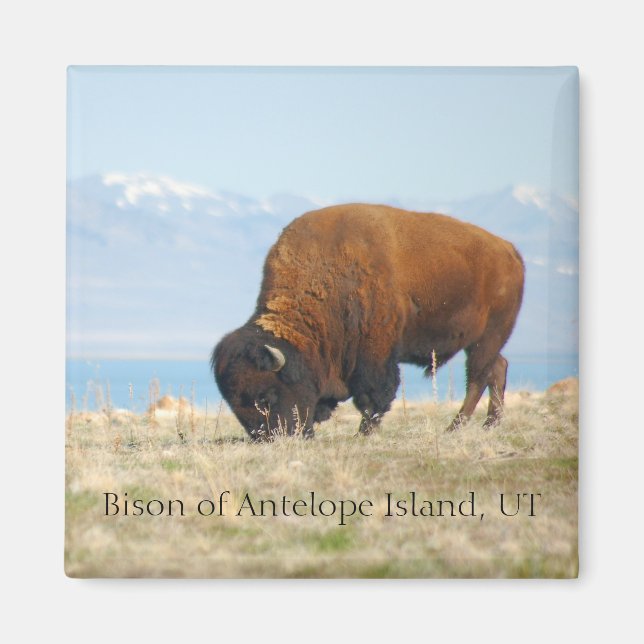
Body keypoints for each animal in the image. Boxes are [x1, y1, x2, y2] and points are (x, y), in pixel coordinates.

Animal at [212, 204, 524, 440]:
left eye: (265, 397)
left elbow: (372, 396)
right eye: (234, 405)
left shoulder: (375, 354)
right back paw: (490, 424)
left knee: (478, 377)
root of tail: (508, 250)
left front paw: (363, 433)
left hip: (487, 337)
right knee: (497, 368)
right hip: (480, 342)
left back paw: (455, 427)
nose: (269, 438)